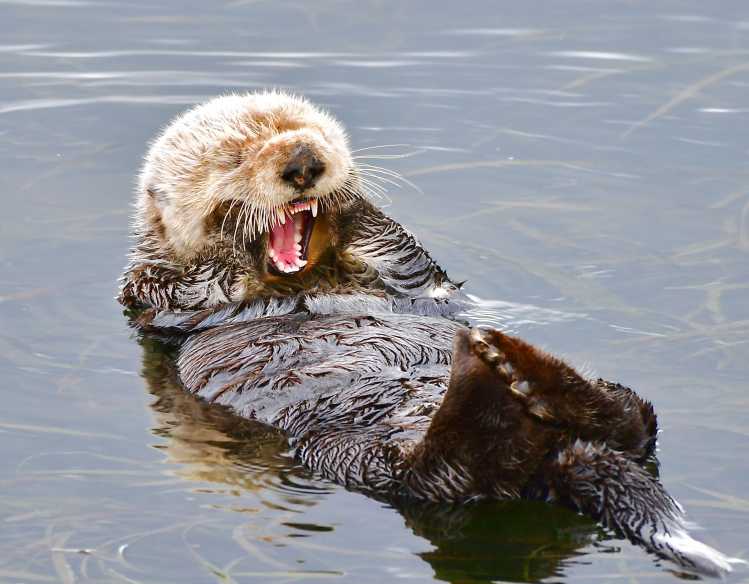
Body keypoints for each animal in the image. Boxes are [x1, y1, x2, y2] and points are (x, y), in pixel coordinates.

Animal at [119, 92, 742, 576]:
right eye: (232, 156)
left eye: (319, 134)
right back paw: (497, 372)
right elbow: (198, 284)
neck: (314, 279)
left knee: (633, 417)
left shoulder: (412, 282)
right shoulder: (160, 294)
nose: (304, 160)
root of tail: (562, 452)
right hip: (363, 458)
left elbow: (406, 257)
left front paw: (352, 201)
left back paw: (517, 365)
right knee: (450, 474)